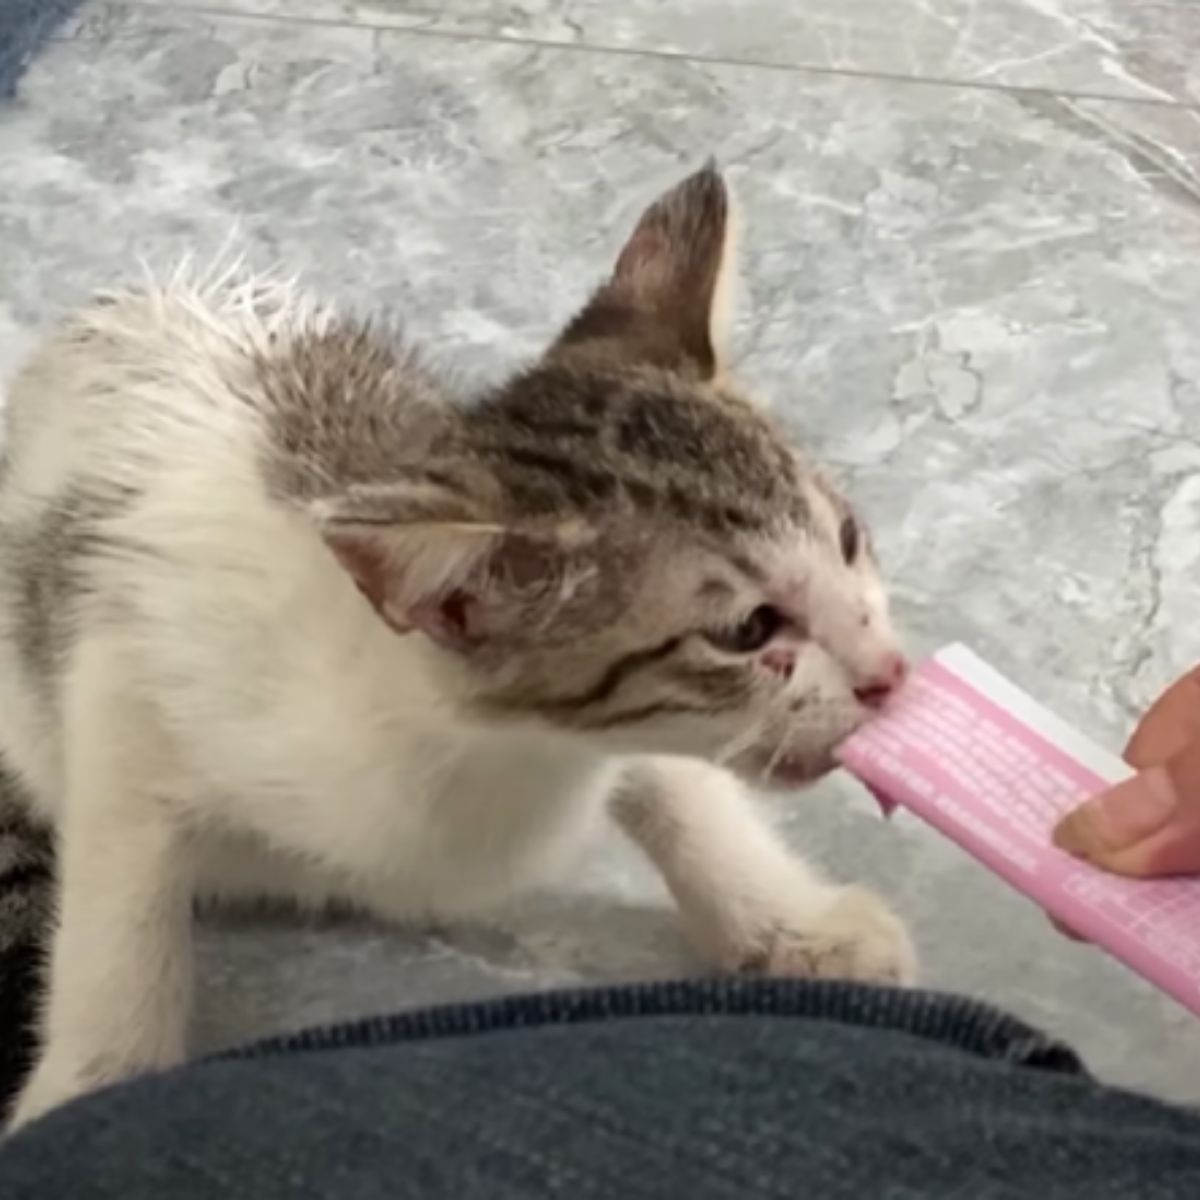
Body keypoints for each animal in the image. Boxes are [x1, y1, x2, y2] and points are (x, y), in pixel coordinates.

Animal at [0, 169, 912, 1132]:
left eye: (848, 537)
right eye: (746, 631)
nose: (891, 676)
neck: (492, 753)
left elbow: (682, 792)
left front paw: (794, 926)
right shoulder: (124, 667)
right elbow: (120, 900)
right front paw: (92, 1083)